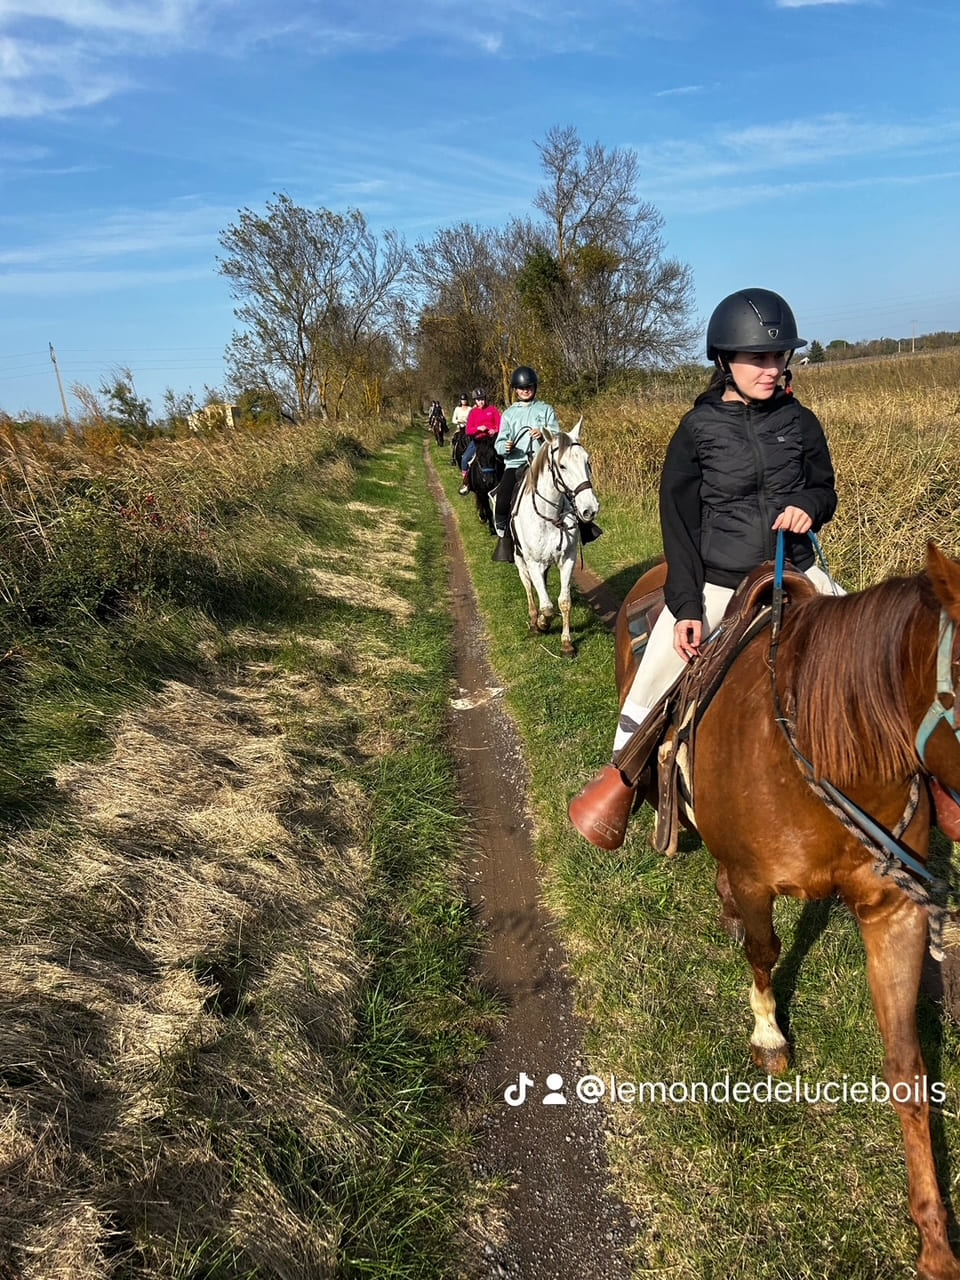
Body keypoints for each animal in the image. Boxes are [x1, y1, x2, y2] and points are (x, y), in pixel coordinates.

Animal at [507, 420, 598, 657]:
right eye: (562, 466)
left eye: (587, 461)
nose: (590, 509)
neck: (550, 516)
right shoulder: (533, 562)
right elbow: (547, 606)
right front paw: (542, 623)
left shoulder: (568, 559)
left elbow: (564, 602)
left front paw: (567, 643)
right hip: (520, 560)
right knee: (528, 586)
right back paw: (533, 620)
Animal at [593, 542, 960, 1280]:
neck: (834, 749)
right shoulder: (758, 880)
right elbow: (764, 953)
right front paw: (768, 1035)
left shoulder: (893, 912)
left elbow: (907, 1065)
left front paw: (934, 1241)